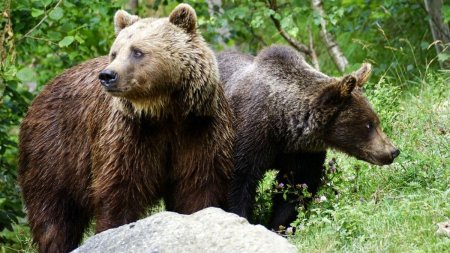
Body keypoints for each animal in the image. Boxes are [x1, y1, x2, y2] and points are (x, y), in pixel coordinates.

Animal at [19, 4, 234, 253]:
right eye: (115, 52)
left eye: (137, 51)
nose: (107, 75)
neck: (164, 111)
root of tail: (40, 94)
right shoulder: (129, 134)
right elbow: (120, 191)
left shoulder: (199, 129)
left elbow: (199, 186)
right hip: (54, 152)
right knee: (53, 216)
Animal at [218, 45, 400, 231]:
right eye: (368, 124)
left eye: (376, 121)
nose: (393, 151)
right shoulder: (249, 138)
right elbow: (239, 184)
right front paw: (242, 217)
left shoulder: (303, 153)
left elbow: (296, 189)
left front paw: (281, 226)